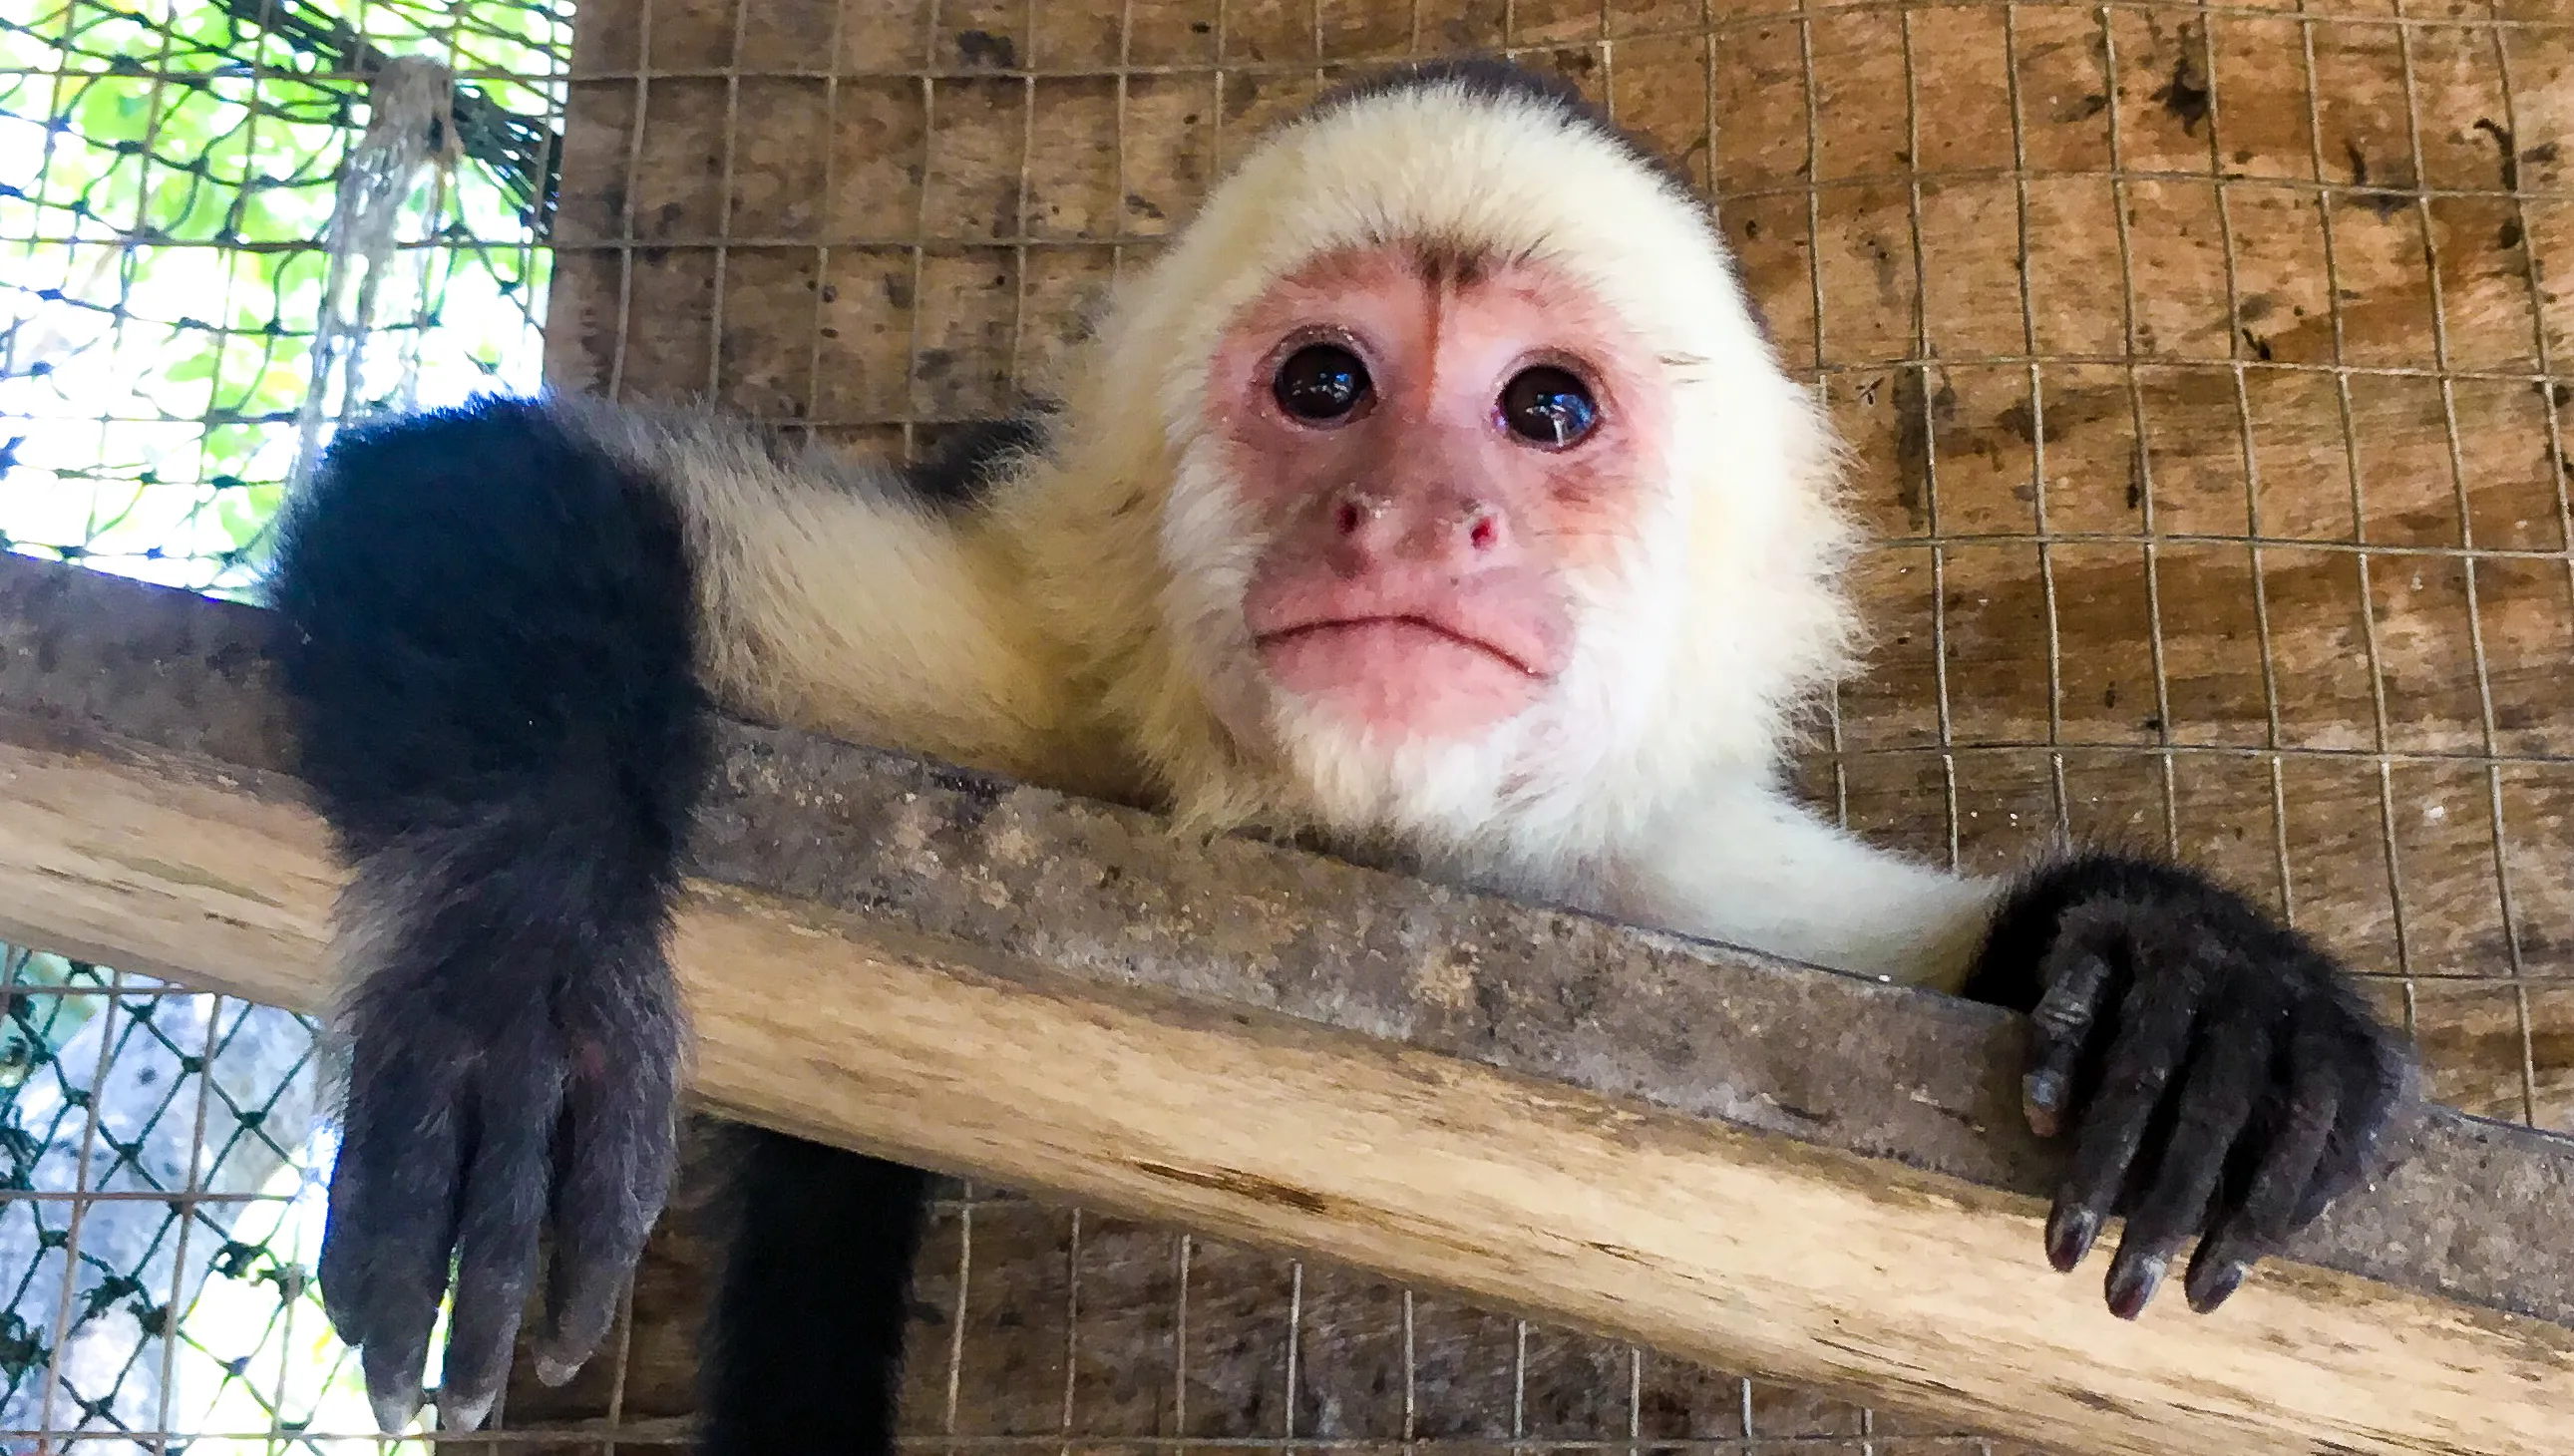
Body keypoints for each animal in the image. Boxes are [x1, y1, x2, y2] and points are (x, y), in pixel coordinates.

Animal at [264, 56, 2414, 1451]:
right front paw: (521, 964)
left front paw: (2182, 977)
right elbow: (462, 490)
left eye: (1545, 410)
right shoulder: (1024, 664)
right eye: (1325, 384)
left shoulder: (1646, 882)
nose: (1413, 516)